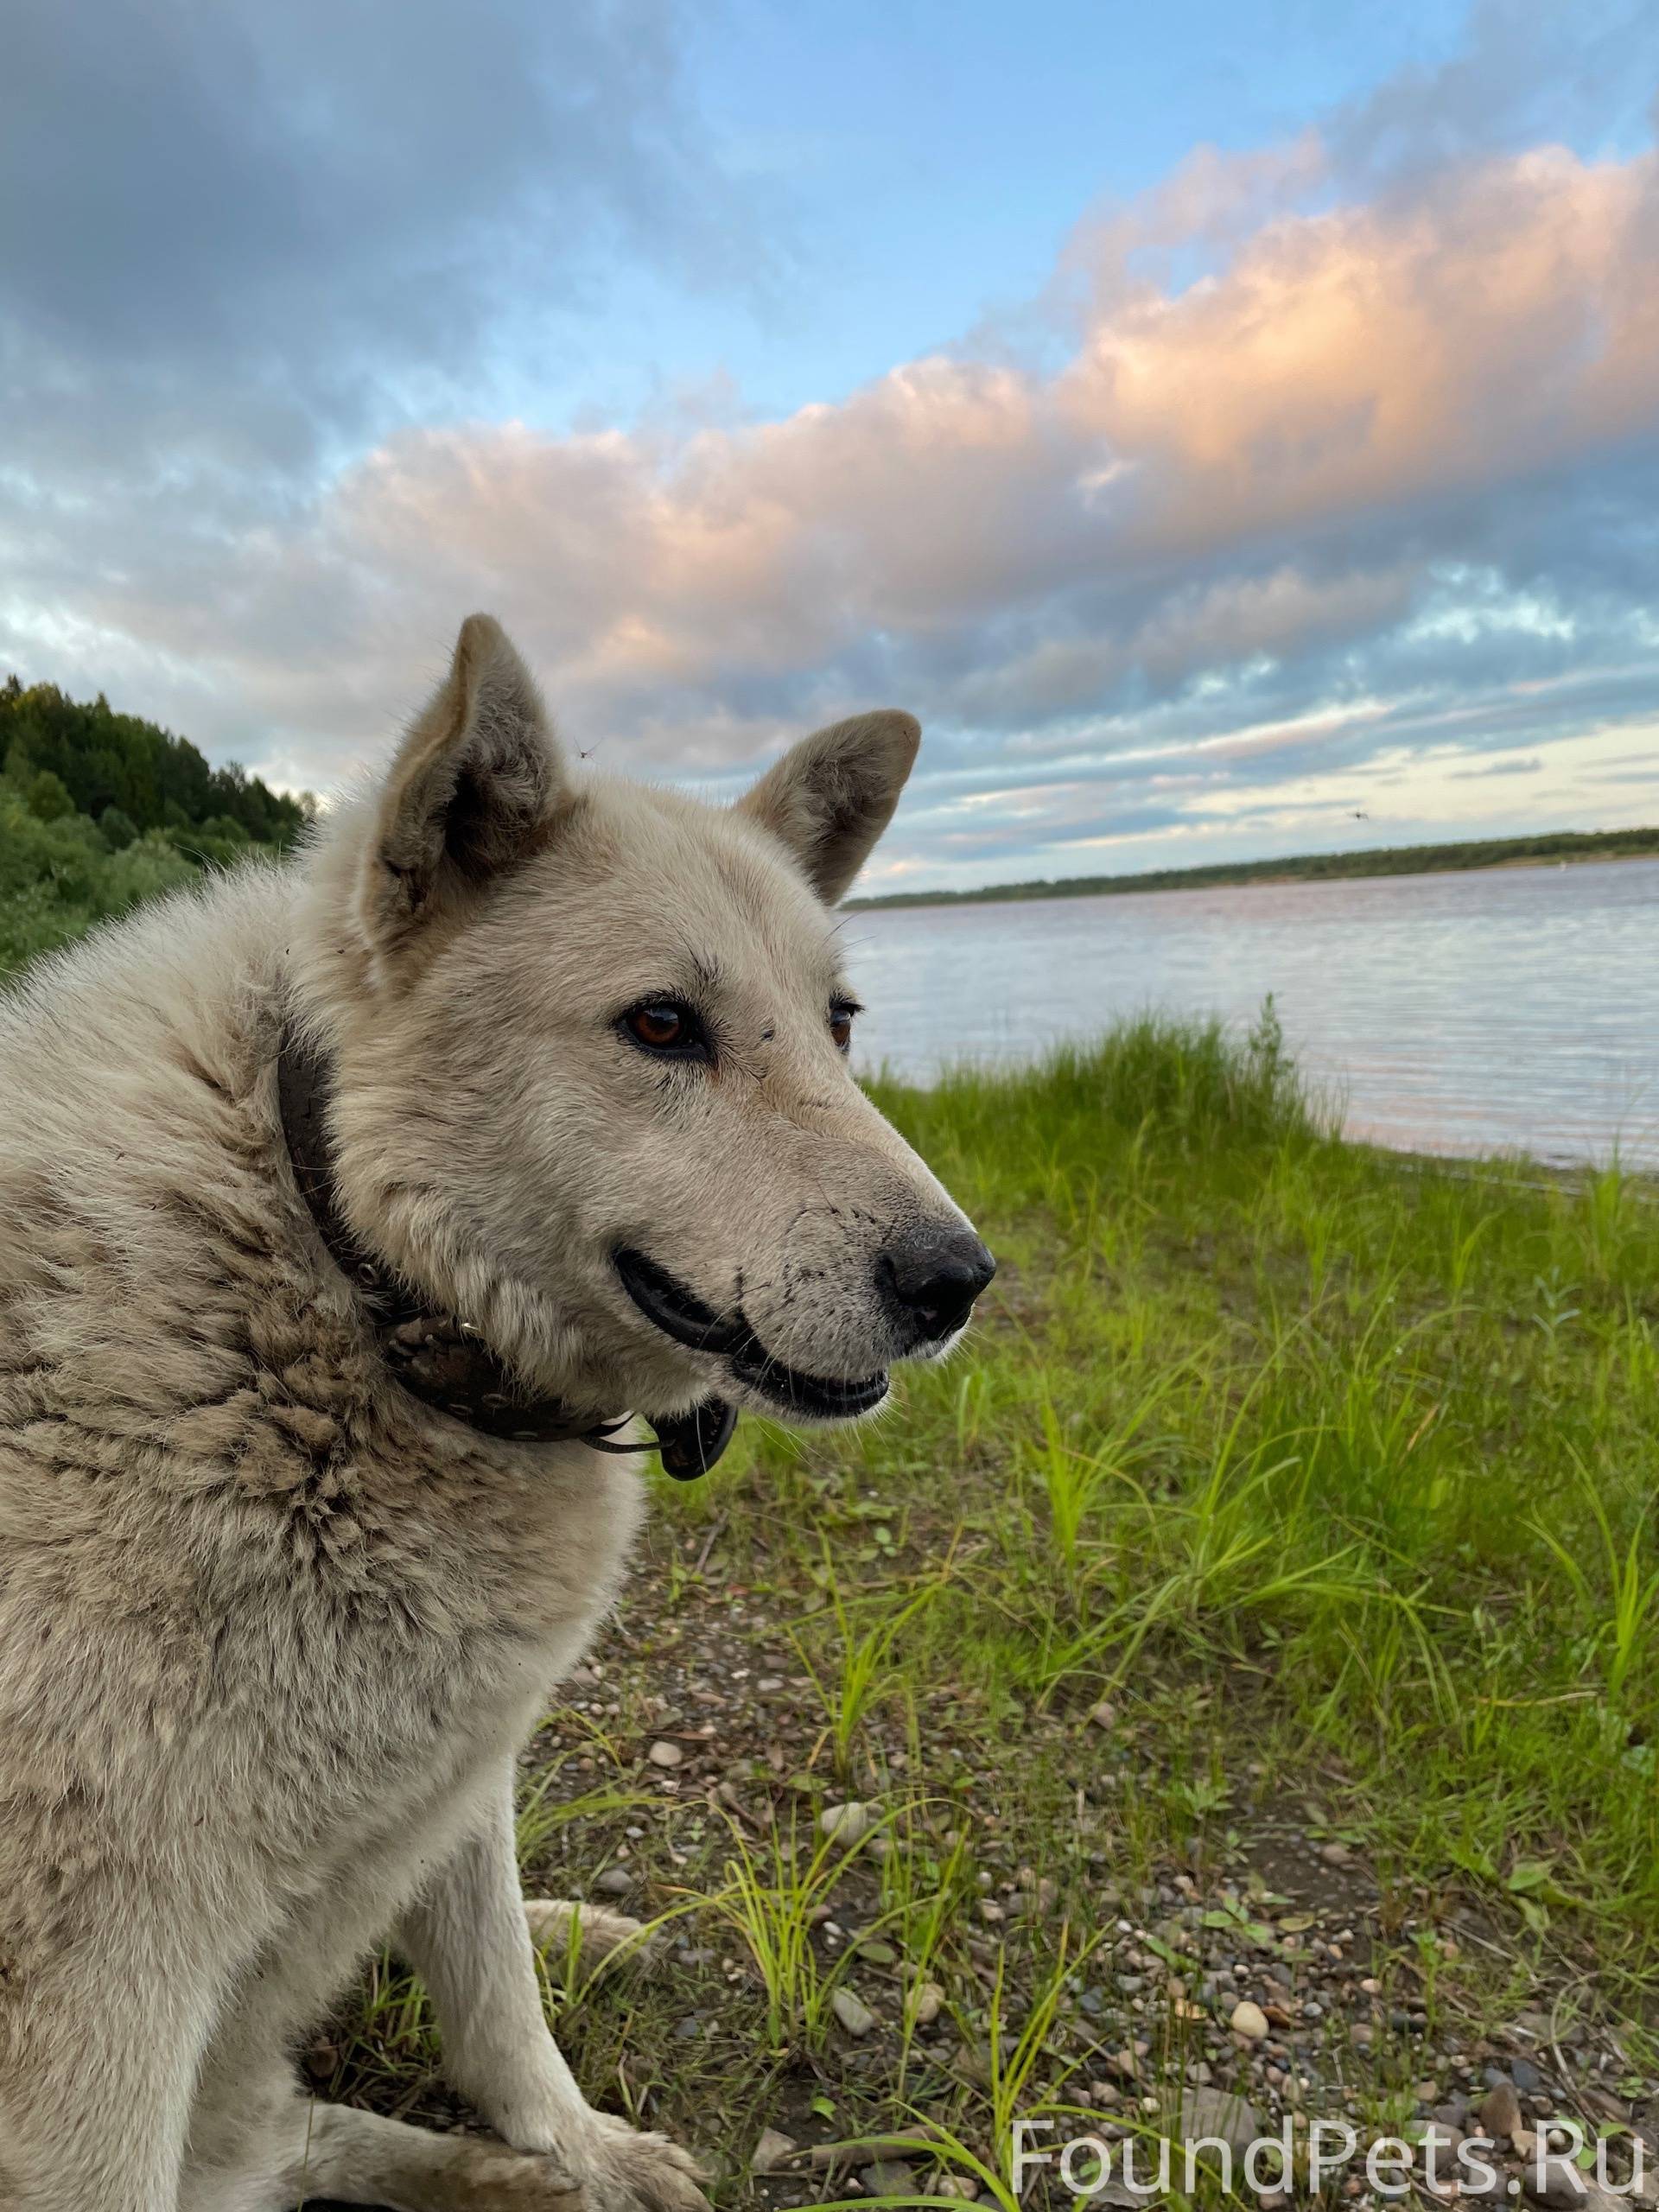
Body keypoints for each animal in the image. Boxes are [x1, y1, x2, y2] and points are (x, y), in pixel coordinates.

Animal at [0, 619, 995, 2212]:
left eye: (839, 1025)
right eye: (661, 1025)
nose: (957, 1281)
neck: (349, 1277)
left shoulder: (457, 1759)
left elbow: (499, 2009)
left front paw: (578, 2141)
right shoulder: (107, 1994)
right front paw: (570, 2147)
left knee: (294, 2121)